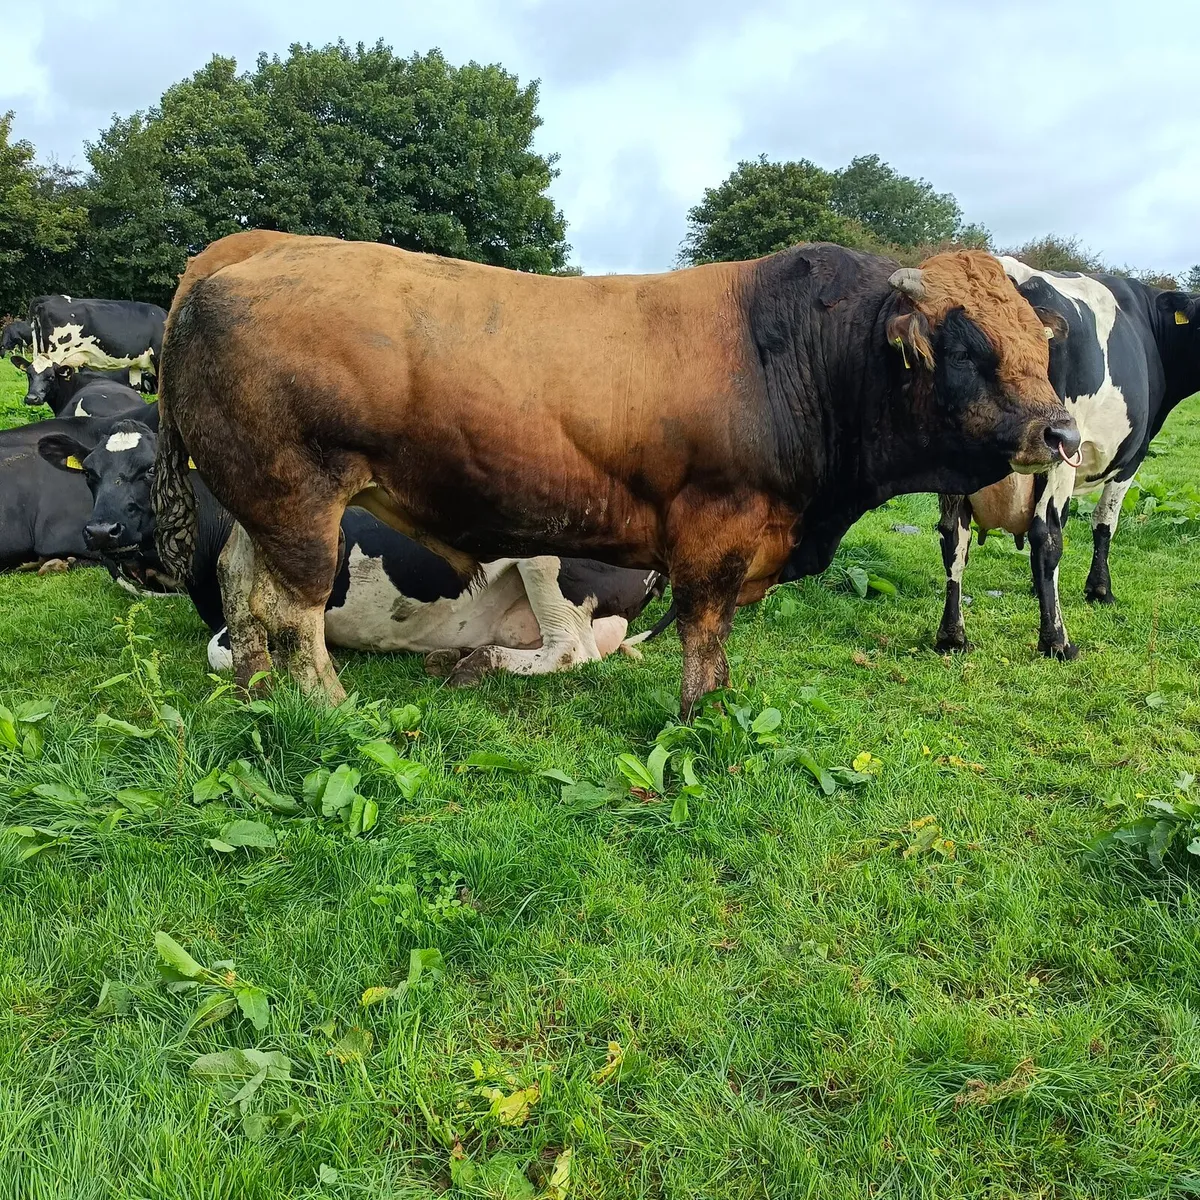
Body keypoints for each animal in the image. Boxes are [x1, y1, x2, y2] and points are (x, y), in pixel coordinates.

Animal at [39, 419, 668, 674]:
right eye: (89, 474)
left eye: (150, 470)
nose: (99, 533)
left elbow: (223, 653)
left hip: (547, 560)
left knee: (570, 652)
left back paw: (474, 664)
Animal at [151, 230, 1077, 713]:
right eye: (968, 347)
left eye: (1039, 344)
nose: (1062, 430)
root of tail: (250, 247)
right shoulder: (716, 527)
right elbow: (704, 631)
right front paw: (703, 716)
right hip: (299, 495)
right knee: (294, 608)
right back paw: (325, 705)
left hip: (257, 499)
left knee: (244, 586)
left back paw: (257, 687)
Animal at [935, 259, 1200, 658]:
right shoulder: (1131, 458)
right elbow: (1104, 523)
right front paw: (1100, 590)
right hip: (1058, 451)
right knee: (1046, 538)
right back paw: (1056, 641)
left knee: (953, 537)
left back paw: (952, 636)